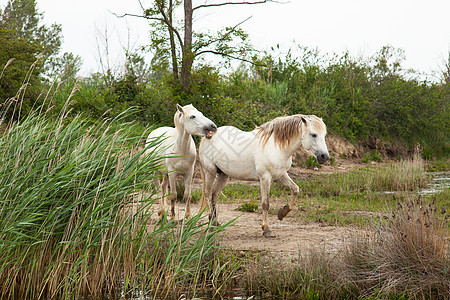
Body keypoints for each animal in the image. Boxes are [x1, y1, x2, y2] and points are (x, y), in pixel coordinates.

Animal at [199, 114, 328, 237]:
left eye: (324, 134)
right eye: (313, 134)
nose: (324, 157)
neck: (276, 146)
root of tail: (208, 136)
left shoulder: (280, 176)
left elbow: (295, 189)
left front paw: (282, 213)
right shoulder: (265, 178)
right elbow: (265, 204)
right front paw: (266, 229)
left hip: (223, 175)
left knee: (214, 195)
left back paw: (215, 223)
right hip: (210, 172)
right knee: (207, 193)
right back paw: (211, 225)